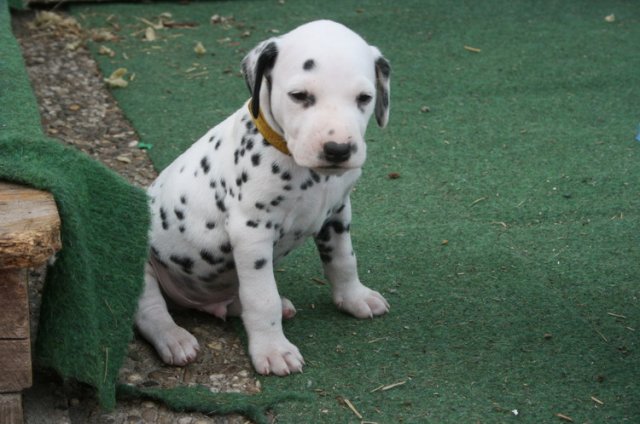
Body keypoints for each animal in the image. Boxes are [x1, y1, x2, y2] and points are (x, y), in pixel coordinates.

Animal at [135, 19, 391, 376]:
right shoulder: (251, 233)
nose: (338, 149)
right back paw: (173, 338)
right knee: (149, 309)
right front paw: (273, 350)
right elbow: (261, 297)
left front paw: (354, 297)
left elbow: (343, 260)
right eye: (299, 96)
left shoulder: (338, 214)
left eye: (364, 98)